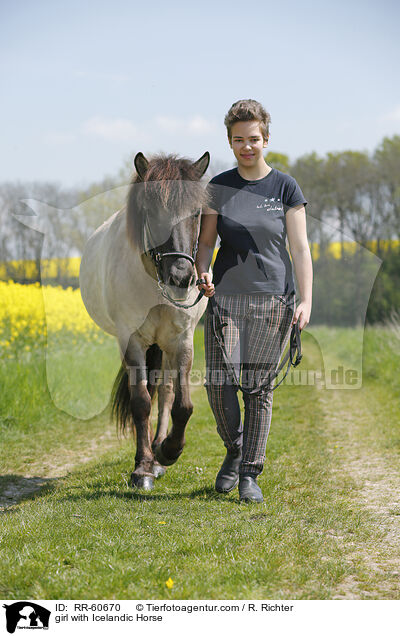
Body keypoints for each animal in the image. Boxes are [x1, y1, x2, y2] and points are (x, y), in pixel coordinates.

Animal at [78, 152, 209, 490]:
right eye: (152, 213)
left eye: (196, 213)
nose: (181, 278)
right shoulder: (132, 341)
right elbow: (140, 402)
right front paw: (142, 467)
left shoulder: (181, 341)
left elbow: (181, 405)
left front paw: (168, 451)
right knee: (150, 392)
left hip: (163, 346)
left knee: (164, 391)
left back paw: (160, 451)